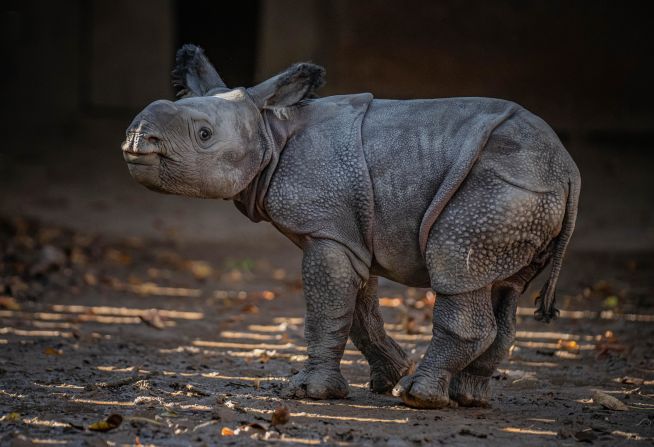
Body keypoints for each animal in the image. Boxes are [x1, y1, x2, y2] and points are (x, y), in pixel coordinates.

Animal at [121, 44, 580, 410]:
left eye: (203, 134)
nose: (136, 138)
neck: (270, 129)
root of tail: (567, 168)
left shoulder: (327, 230)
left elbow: (327, 308)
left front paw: (310, 392)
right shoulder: (350, 232)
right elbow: (360, 311)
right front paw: (387, 375)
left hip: (501, 185)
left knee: (457, 269)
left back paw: (418, 398)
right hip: (522, 188)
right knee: (503, 287)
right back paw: (468, 398)